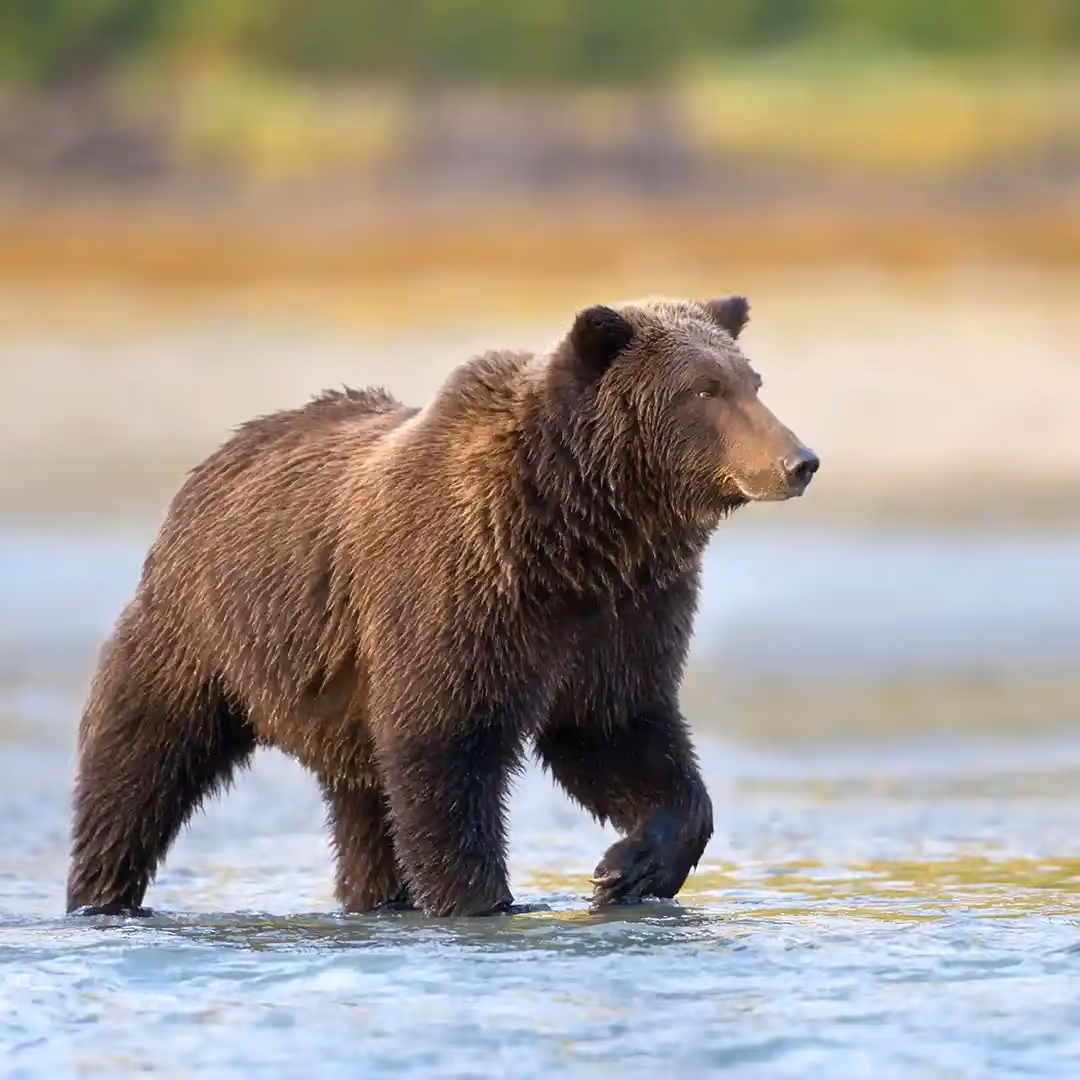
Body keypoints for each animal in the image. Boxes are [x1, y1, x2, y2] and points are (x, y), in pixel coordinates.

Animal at [66, 295, 819, 918]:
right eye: (704, 389)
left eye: (752, 382)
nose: (799, 460)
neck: (575, 535)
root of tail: (220, 455)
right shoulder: (456, 595)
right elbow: (446, 749)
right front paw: (483, 899)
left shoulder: (624, 614)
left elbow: (620, 731)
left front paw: (626, 870)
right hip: (202, 629)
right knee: (140, 760)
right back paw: (102, 894)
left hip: (338, 704)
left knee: (363, 811)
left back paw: (375, 899)